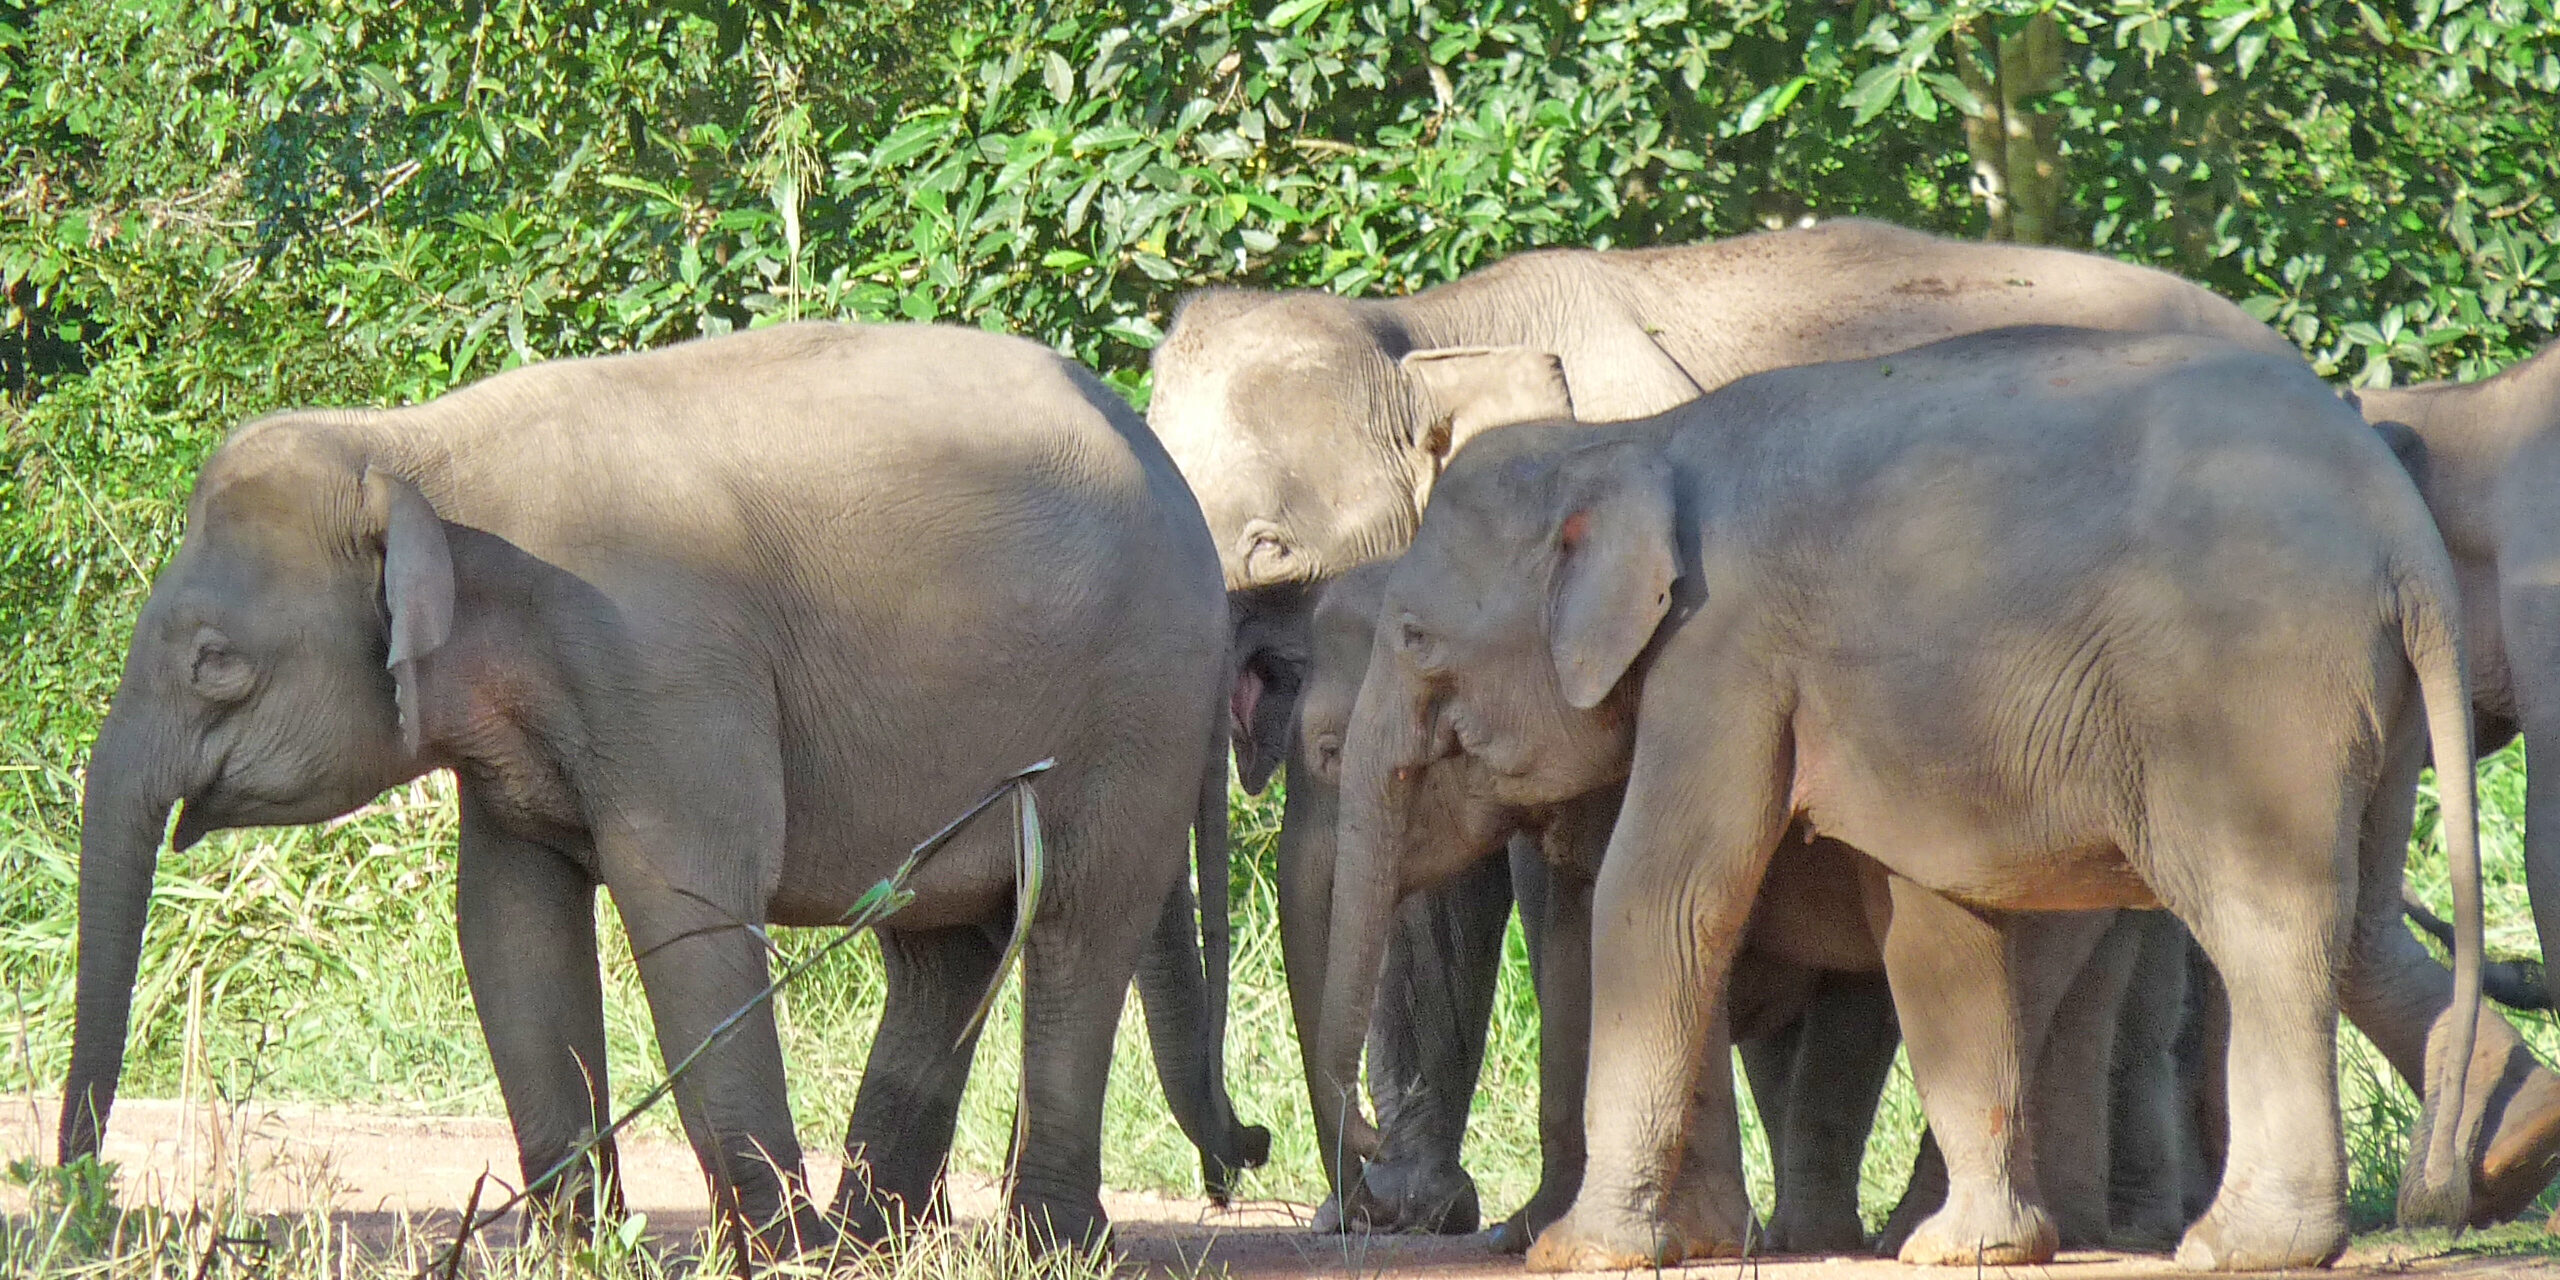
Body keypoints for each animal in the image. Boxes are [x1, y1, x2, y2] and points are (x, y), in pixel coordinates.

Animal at [54, 321, 1268, 1261]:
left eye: (216, 663)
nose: (81, 1211)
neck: (410, 449)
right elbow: (509, 930)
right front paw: (578, 1249)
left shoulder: (667, 663)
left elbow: (687, 913)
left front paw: (776, 1257)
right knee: (943, 952)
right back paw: (879, 1243)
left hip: (1138, 710)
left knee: (1076, 930)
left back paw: (1039, 1247)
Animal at [1296, 562, 2191, 1255]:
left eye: (1329, 754)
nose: (1360, 1202)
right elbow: (1578, 954)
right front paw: (1535, 1234)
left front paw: (1681, 1238)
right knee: (2077, 1004)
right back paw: (2065, 1231)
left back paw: (1915, 1236)